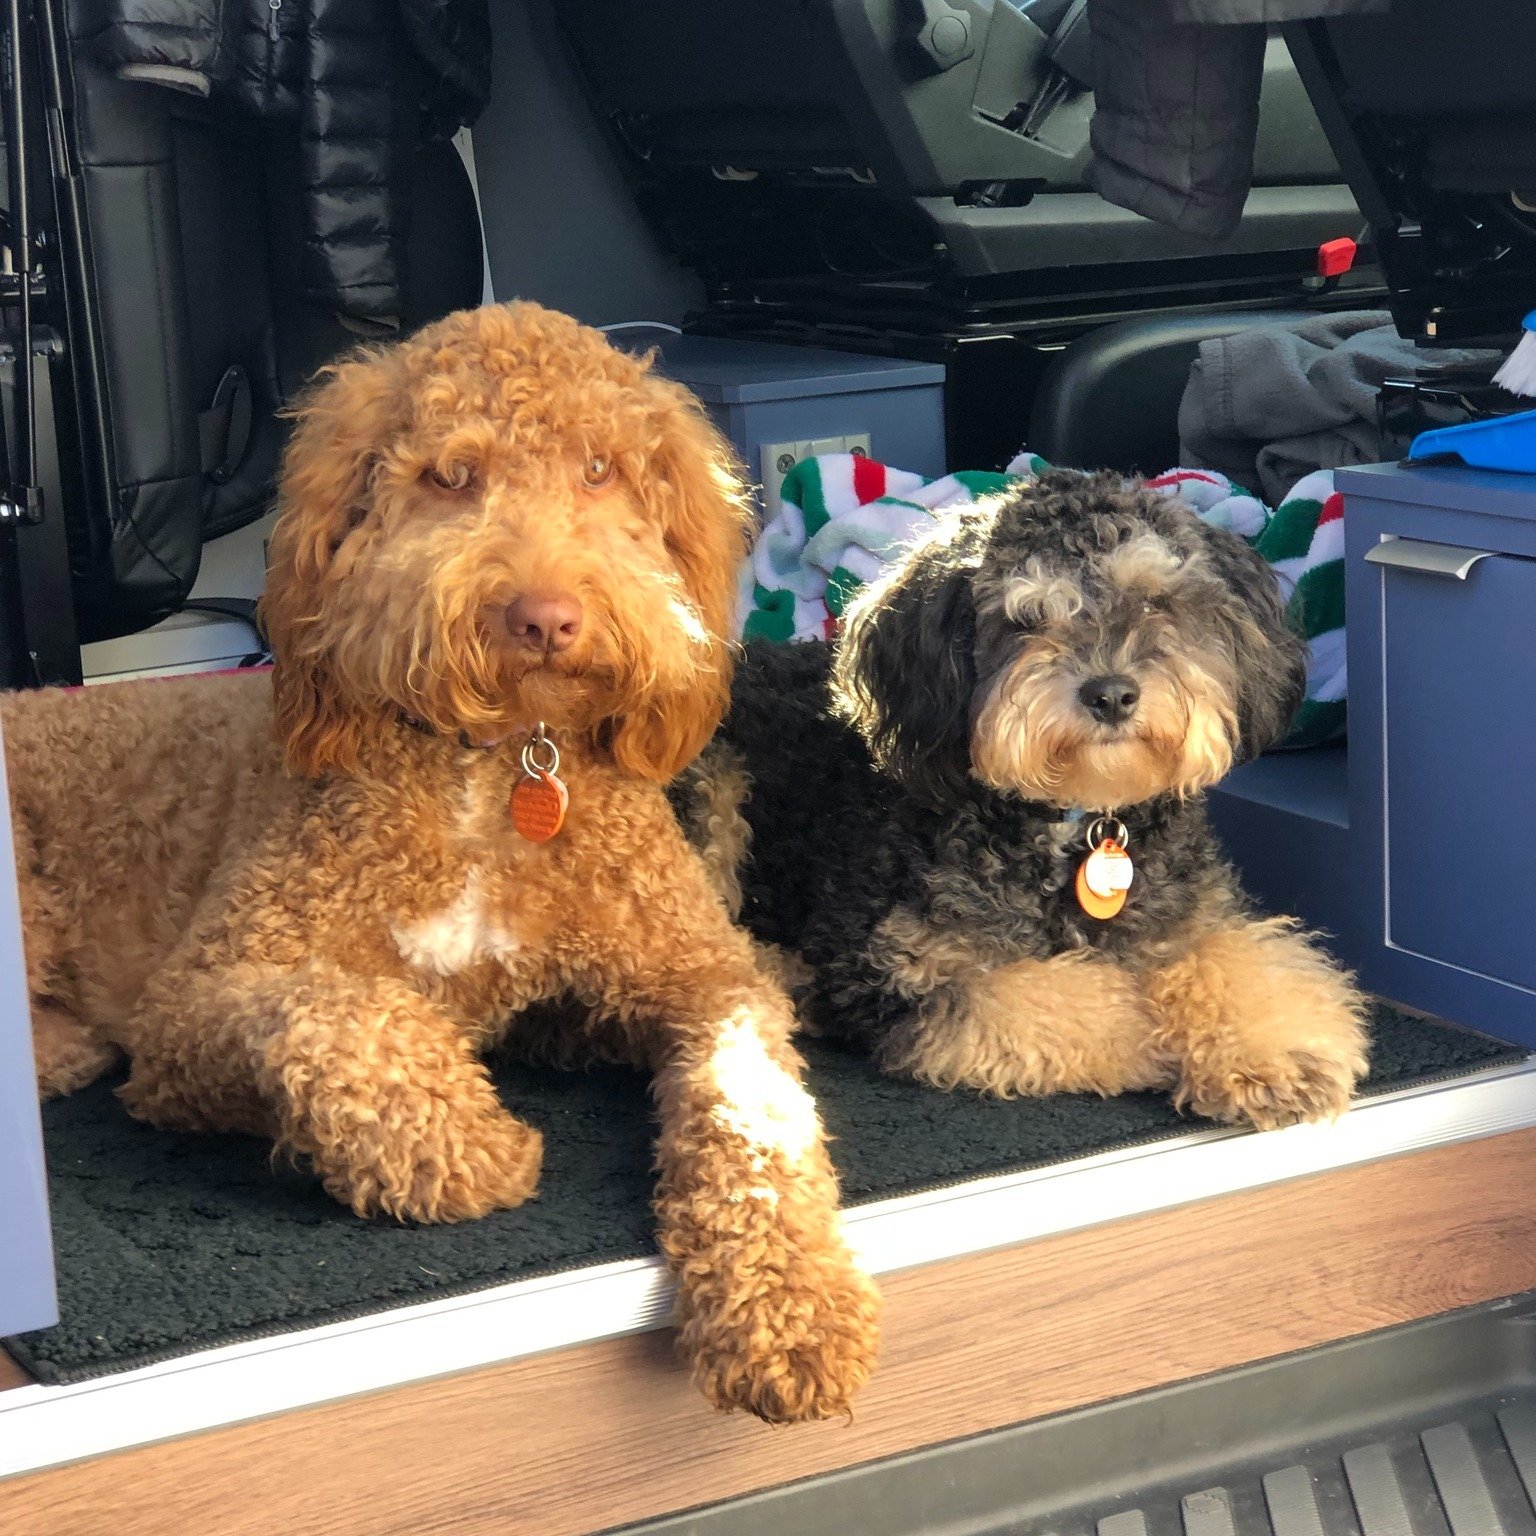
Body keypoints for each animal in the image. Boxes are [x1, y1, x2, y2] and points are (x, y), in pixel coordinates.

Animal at [6, 302, 878, 1425]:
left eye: (601, 469)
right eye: (452, 477)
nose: (544, 616)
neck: (500, 770)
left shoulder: (693, 979)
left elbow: (754, 1103)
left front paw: (793, 1304)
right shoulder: (198, 1001)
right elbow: (341, 1011)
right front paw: (465, 1147)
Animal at [685, 466, 1370, 1130]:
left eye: (1155, 600)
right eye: (1025, 620)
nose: (1111, 694)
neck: (1074, 822)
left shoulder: (1189, 912)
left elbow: (1232, 957)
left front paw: (1275, 1056)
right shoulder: (902, 965)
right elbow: (1067, 1001)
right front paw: (1157, 1036)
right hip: (713, 785)